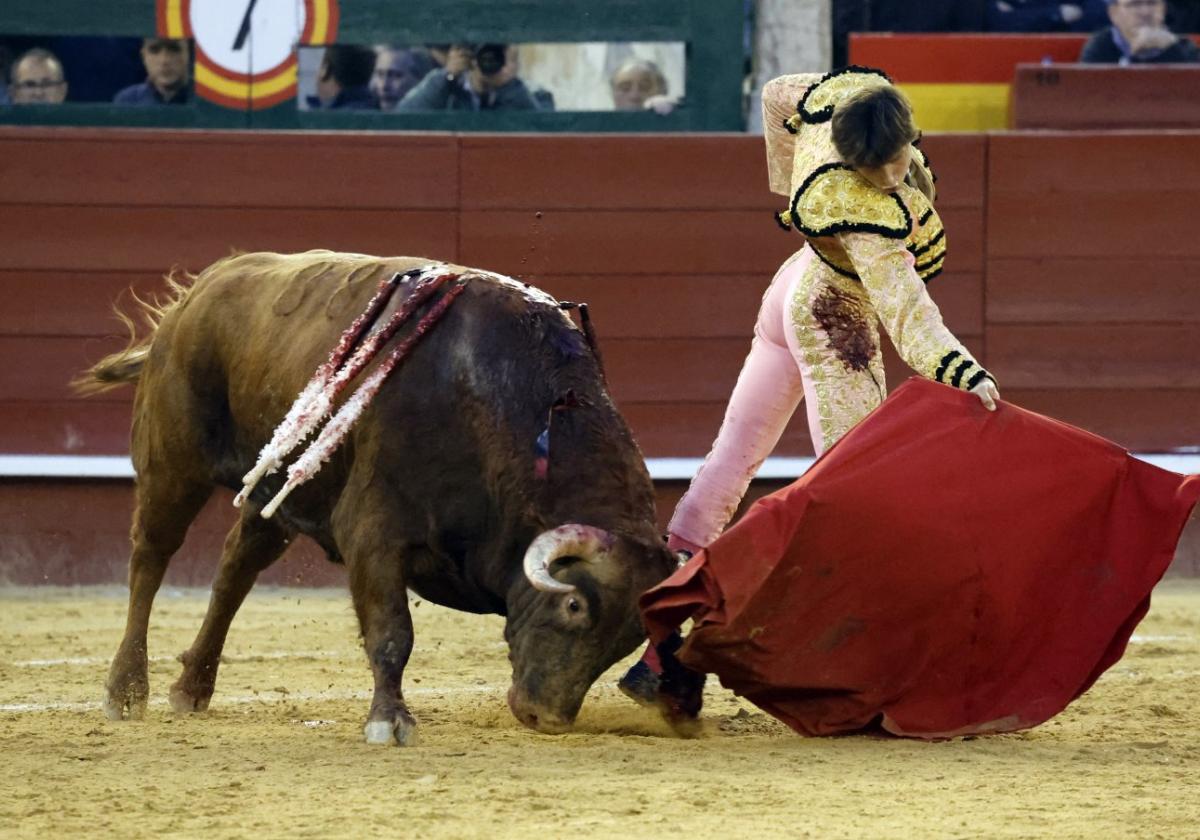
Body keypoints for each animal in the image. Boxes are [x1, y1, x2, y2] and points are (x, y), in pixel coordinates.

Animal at [79, 247, 681, 739]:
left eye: (631, 635)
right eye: (575, 604)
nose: (547, 718)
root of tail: (196, 291)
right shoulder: (375, 530)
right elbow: (393, 632)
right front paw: (389, 721)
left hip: (281, 490)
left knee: (235, 569)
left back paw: (192, 687)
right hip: (172, 463)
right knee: (150, 560)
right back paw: (126, 691)